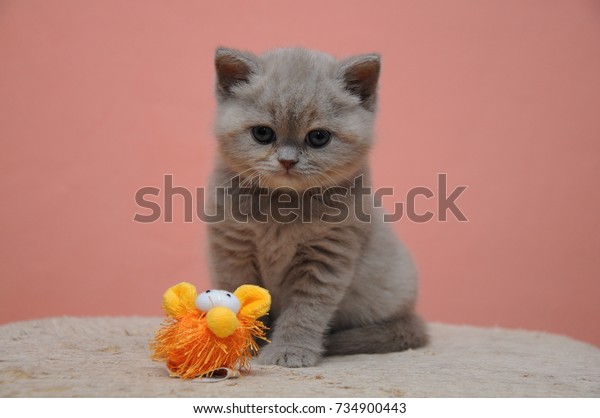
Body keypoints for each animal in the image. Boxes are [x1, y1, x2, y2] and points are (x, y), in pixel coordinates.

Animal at [206, 46, 426, 366]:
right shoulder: (232, 253)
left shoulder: (327, 256)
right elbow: (241, 300)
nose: (287, 161)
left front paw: (289, 351)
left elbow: (305, 311)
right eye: (263, 134)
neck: (282, 206)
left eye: (318, 137)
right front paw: (239, 345)